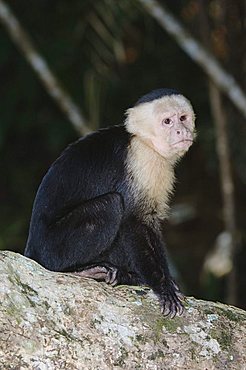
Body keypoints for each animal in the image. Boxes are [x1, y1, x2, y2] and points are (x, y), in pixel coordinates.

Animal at [25, 89, 197, 318]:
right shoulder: (142, 160)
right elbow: (133, 222)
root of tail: (31, 251)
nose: (180, 130)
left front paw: (166, 281)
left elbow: (149, 221)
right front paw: (163, 287)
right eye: (167, 121)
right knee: (112, 206)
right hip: (52, 248)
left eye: (183, 118)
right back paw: (83, 271)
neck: (144, 142)